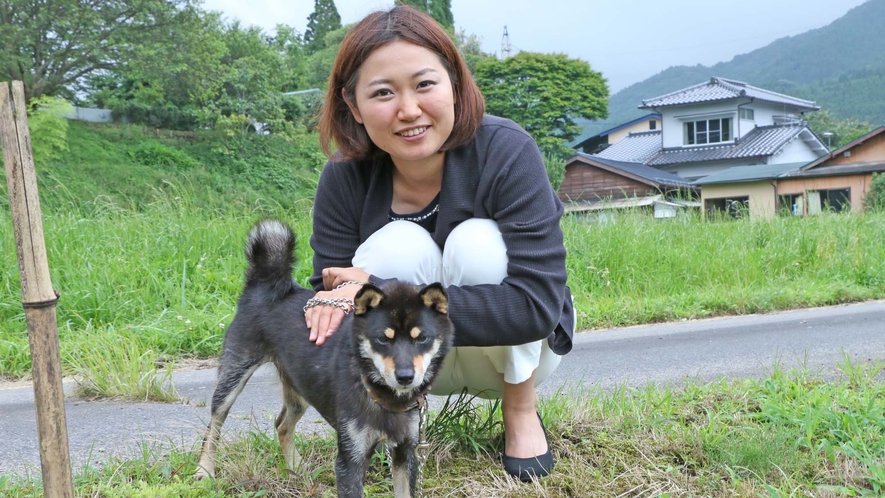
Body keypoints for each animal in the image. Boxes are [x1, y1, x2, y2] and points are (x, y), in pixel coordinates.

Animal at [197, 220, 452, 496]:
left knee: (282, 424)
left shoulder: (406, 453)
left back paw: (296, 469)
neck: (385, 397)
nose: (405, 377)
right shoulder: (350, 459)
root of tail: (266, 287)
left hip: (300, 389)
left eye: (422, 338)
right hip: (233, 375)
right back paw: (204, 470)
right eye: (383, 339)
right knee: (214, 425)